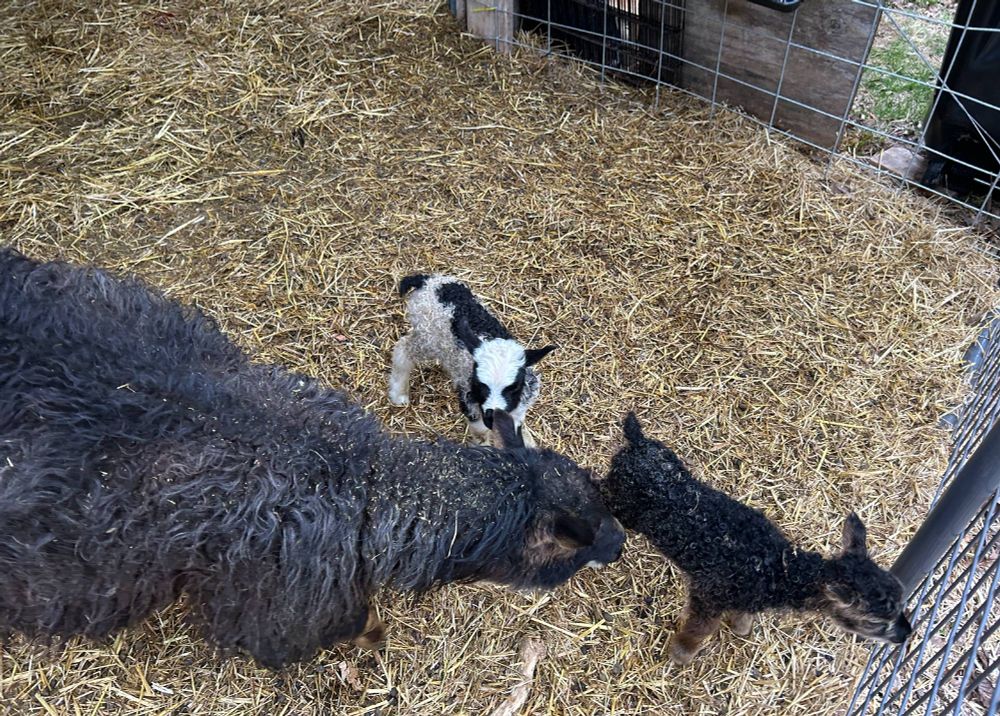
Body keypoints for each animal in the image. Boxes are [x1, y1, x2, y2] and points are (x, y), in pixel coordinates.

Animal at [387, 274, 556, 447]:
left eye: (514, 387)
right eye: (480, 384)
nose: (492, 418)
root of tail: (427, 280)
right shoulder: (470, 402)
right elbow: (481, 434)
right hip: (428, 338)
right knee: (403, 350)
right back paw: (399, 394)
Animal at [601, 412, 912, 665]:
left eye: (901, 602)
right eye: (874, 621)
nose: (906, 635)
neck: (777, 568)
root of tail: (637, 442)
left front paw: (742, 629)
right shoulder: (709, 594)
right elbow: (699, 630)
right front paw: (680, 656)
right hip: (623, 501)